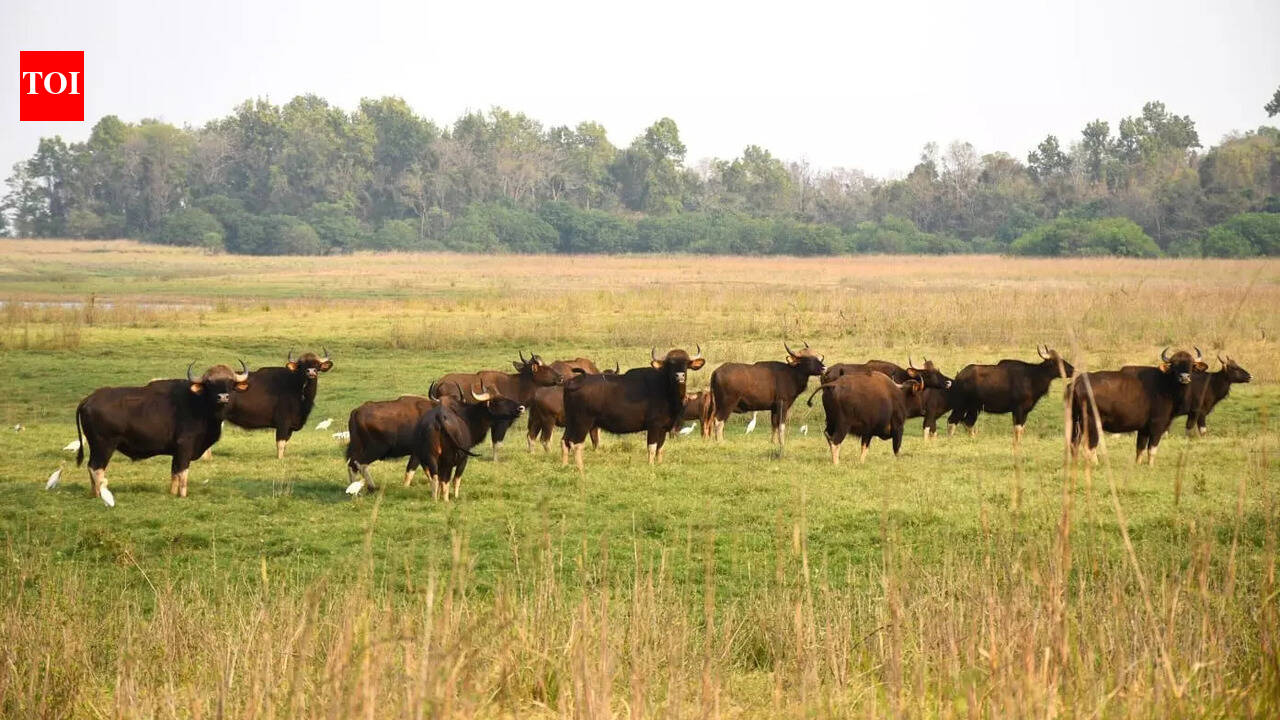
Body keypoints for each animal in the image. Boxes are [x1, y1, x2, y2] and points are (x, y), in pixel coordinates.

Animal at [74, 361, 250, 499]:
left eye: (230, 382)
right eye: (209, 383)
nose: (223, 397)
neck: (199, 404)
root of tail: (89, 399)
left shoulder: (176, 452)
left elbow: (174, 473)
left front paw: (172, 493)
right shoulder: (185, 447)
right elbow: (183, 473)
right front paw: (183, 495)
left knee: (91, 467)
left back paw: (94, 493)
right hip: (104, 445)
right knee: (96, 468)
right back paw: (99, 494)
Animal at [562, 347, 705, 470]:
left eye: (686, 363)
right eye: (670, 364)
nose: (680, 376)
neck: (666, 389)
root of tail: (572, 382)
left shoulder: (664, 428)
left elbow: (660, 448)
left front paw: (659, 464)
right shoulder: (654, 426)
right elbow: (652, 448)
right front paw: (651, 466)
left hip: (571, 422)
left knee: (565, 441)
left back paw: (565, 465)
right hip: (582, 422)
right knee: (576, 444)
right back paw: (581, 468)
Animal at [1069, 348, 1209, 464]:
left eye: (1191, 364)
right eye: (1174, 365)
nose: (1184, 377)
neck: (1166, 385)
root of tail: (1078, 382)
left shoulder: (1143, 429)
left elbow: (1140, 449)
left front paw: (1138, 464)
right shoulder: (1157, 426)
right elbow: (1152, 449)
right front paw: (1150, 466)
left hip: (1075, 422)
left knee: (1074, 443)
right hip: (1092, 423)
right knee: (1089, 446)